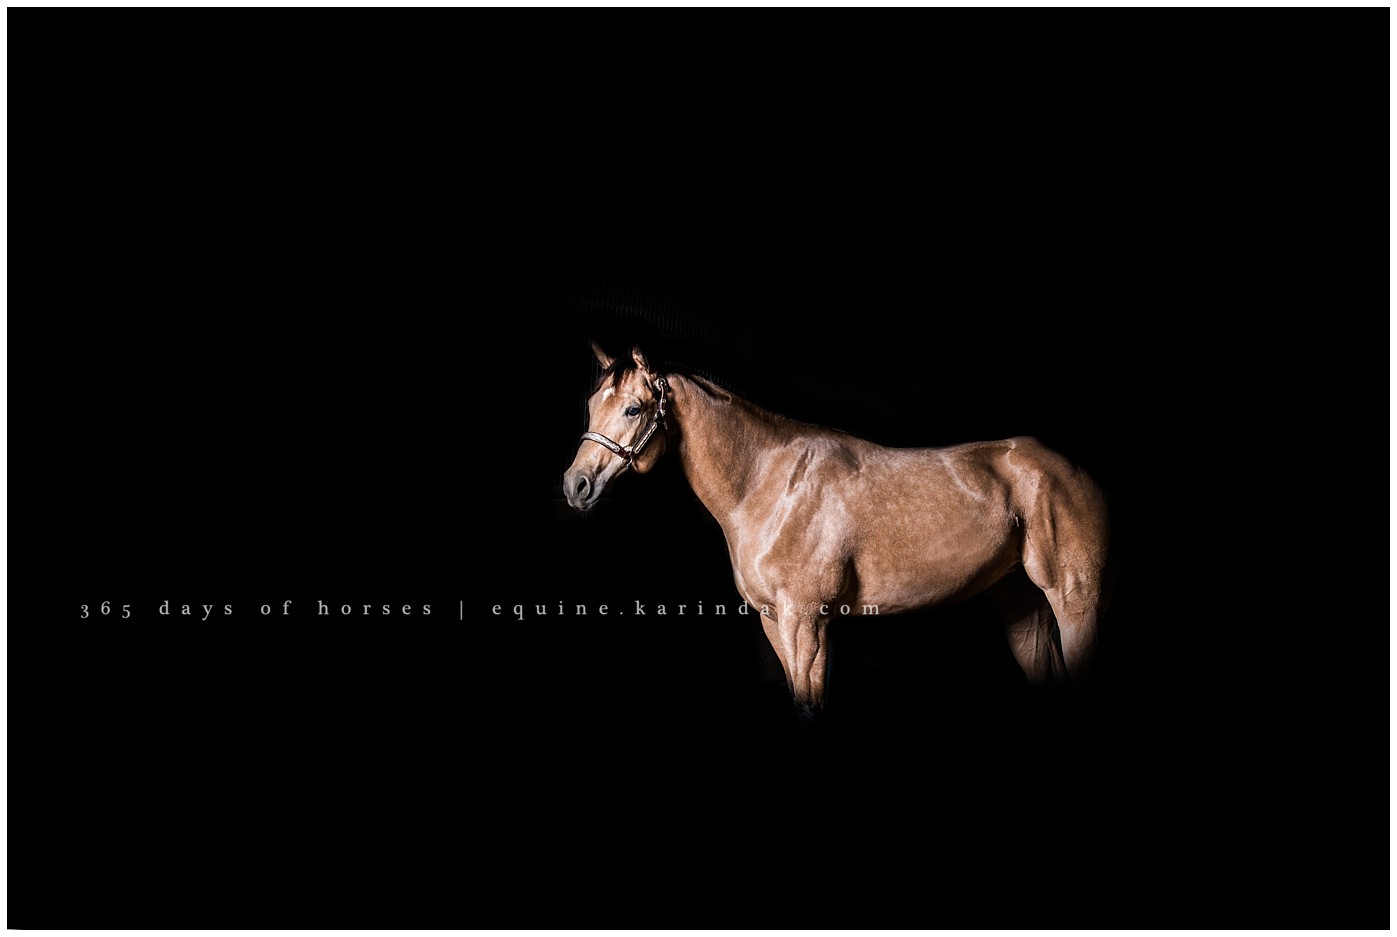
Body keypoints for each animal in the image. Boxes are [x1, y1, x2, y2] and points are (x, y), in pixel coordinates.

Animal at [563, 343, 1112, 720]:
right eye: (591, 405)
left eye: (633, 409)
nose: (577, 484)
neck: (766, 483)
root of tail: (1074, 472)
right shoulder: (774, 621)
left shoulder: (806, 622)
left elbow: (811, 706)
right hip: (1022, 603)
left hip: (1075, 599)